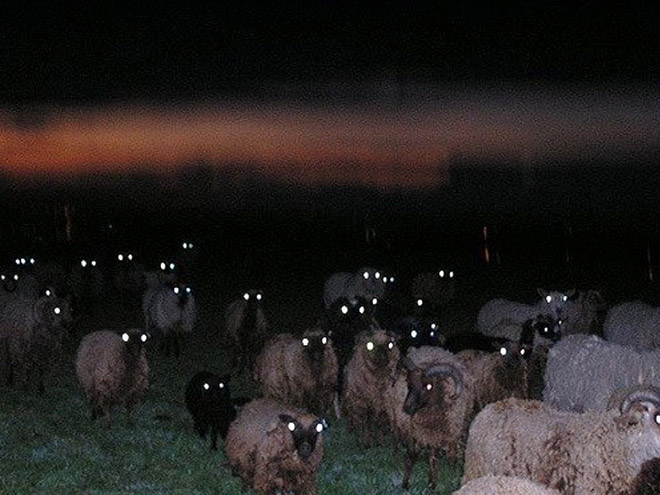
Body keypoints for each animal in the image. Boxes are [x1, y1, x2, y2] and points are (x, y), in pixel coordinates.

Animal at [384, 346, 476, 490]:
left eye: (428, 386)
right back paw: (395, 461)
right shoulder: (415, 432)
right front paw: (405, 484)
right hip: (395, 421)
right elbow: (411, 456)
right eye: (408, 383)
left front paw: (441, 482)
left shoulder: (447, 433)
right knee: (396, 444)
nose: (406, 407)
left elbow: (443, 458)